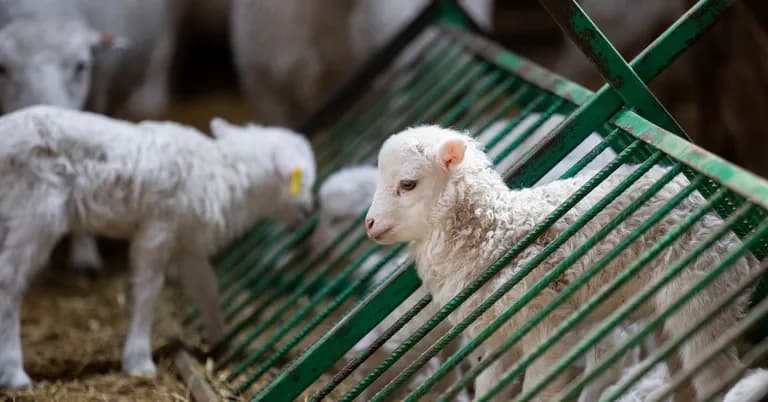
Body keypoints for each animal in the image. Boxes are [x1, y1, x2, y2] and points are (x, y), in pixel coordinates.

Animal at [0, 105, 316, 388]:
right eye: (302, 180)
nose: (310, 211)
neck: (223, 173)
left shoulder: (187, 240)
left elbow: (206, 287)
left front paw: (221, 340)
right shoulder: (159, 225)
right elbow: (149, 289)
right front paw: (139, 360)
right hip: (36, 209)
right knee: (9, 282)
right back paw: (14, 373)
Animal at [364, 125, 760, 402]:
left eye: (408, 184)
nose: (369, 224)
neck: (494, 231)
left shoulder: (548, 324)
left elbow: (541, 390)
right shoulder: (499, 338)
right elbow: (490, 389)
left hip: (702, 291)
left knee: (717, 372)